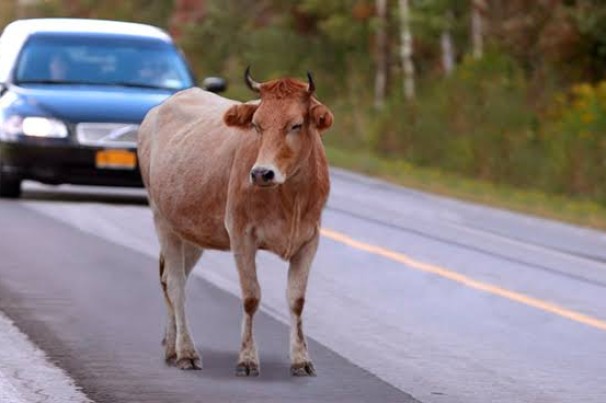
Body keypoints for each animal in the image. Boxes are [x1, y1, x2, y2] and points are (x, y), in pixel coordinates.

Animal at [137, 68, 334, 378]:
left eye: (296, 125)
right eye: (256, 125)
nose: (262, 173)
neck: (291, 197)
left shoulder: (309, 239)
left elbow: (296, 300)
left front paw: (301, 360)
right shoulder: (242, 235)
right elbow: (251, 297)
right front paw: (247, 359)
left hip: (191, 231)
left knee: (170, 279)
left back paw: (171, 347)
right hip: (162, 220)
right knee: (176, 284)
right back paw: (186, 352)